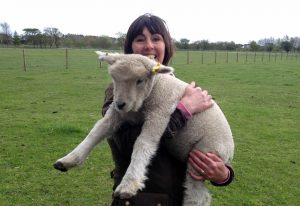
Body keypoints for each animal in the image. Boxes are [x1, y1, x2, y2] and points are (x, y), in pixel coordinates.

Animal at [54, 52, 234, 206]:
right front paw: (68, 160)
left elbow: (143, 143)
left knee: (198, 195)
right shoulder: (117, 114)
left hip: (203, 154)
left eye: (139, 80)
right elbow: (95, 132)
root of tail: (229, 153)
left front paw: (128, 185)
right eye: (114, 79)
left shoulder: (160, 114)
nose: (120, 103)